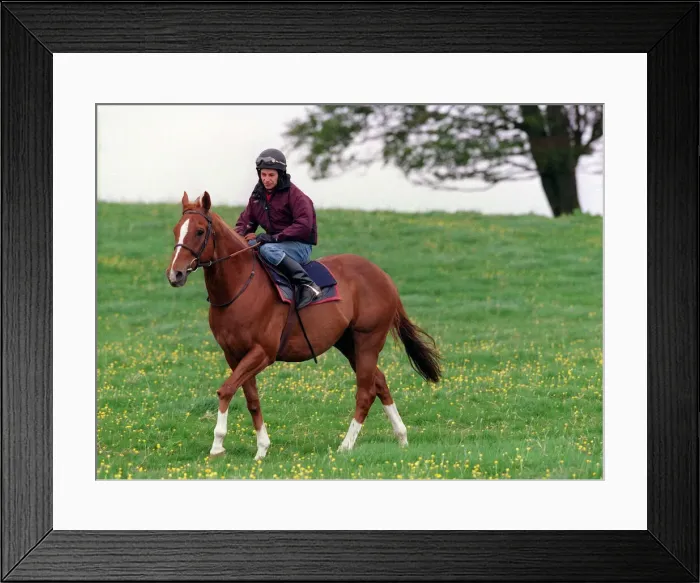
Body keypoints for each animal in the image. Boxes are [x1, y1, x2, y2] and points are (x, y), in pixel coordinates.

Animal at [165, 191, 442, 460]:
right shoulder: (234, 354)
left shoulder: (262, 352)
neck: (240, 287)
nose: (175, 274)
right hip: (348, 343)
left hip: (368, 340)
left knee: (366, 392)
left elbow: (226, 390)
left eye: (200, 231)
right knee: (380, 382)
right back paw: (401, 436)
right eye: (176, 229)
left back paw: (346, 445)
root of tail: (384, 277)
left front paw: (217, 445)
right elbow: (250, 398)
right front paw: (262, 447)